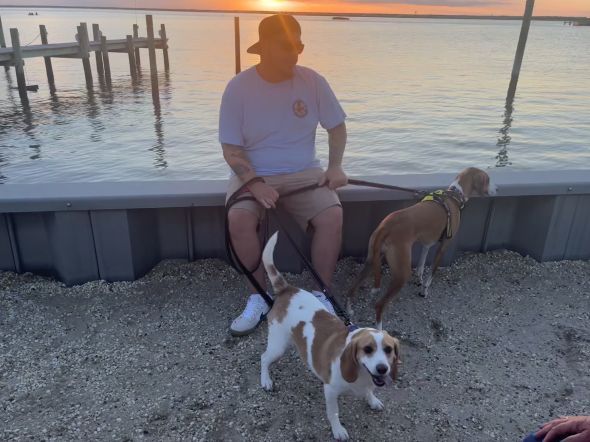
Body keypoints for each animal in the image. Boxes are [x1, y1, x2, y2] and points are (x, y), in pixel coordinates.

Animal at [260, 232, 401, 441]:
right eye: (367, 349)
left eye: (388, 349)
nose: (382, 368)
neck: (360, 373)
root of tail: (288, 289)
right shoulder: (330, 391)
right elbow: (333, 413)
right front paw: (338, 430)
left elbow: (369, 390)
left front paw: (372, 399)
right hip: (278, 346)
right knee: (264, 358)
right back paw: (266, 380)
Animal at [346, 167, 497, 330]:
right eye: (488, 179)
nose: (497, 189)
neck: (453, 196)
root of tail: (386, 226)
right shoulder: (443, 246)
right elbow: (431, 274)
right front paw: (424, 290)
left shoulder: (426, 244)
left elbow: (421, 266)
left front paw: (419, 279)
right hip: (401, 273)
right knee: (379, 305)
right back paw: (379, 330)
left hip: (371, 260)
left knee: (351, 289)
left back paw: (349, 311)